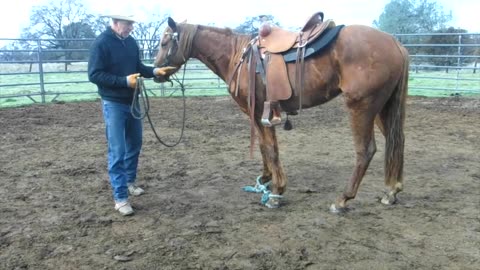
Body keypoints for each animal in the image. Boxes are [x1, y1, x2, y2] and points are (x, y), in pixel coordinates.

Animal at [154, 16, 408, 213]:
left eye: (165, 41)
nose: (156, 72)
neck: (238, 55)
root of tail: (395, 43)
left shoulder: (260, 111)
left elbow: (270, 149)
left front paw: (276, 193)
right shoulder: (259, 115)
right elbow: (264, 147)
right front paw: (264, 181)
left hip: (361, 107)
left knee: (366, 151)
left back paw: (343, 200)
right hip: (383, 108)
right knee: (396, 141)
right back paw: (391, 191)